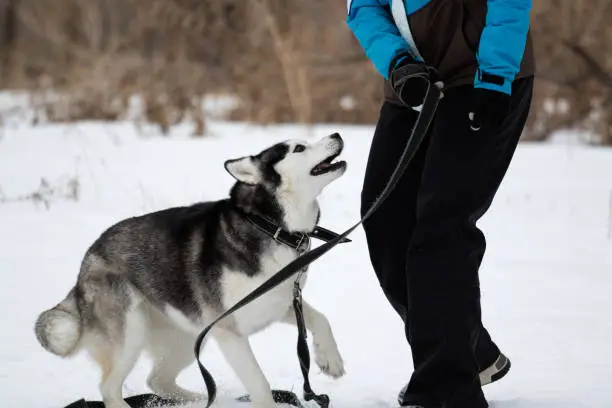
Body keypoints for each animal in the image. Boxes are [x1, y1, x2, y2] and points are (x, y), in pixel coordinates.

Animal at [34, 133, 350, 404]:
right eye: (299, 148)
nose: (336, 135)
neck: (271, 227)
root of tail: (86, 265)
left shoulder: (282, 301)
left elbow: (321, 319)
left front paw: (330, 359)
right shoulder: (229, 331)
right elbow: (260, 385)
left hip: (188, 337)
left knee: (158, 381)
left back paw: (205, 400)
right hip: (130, 334)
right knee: (110, 390)